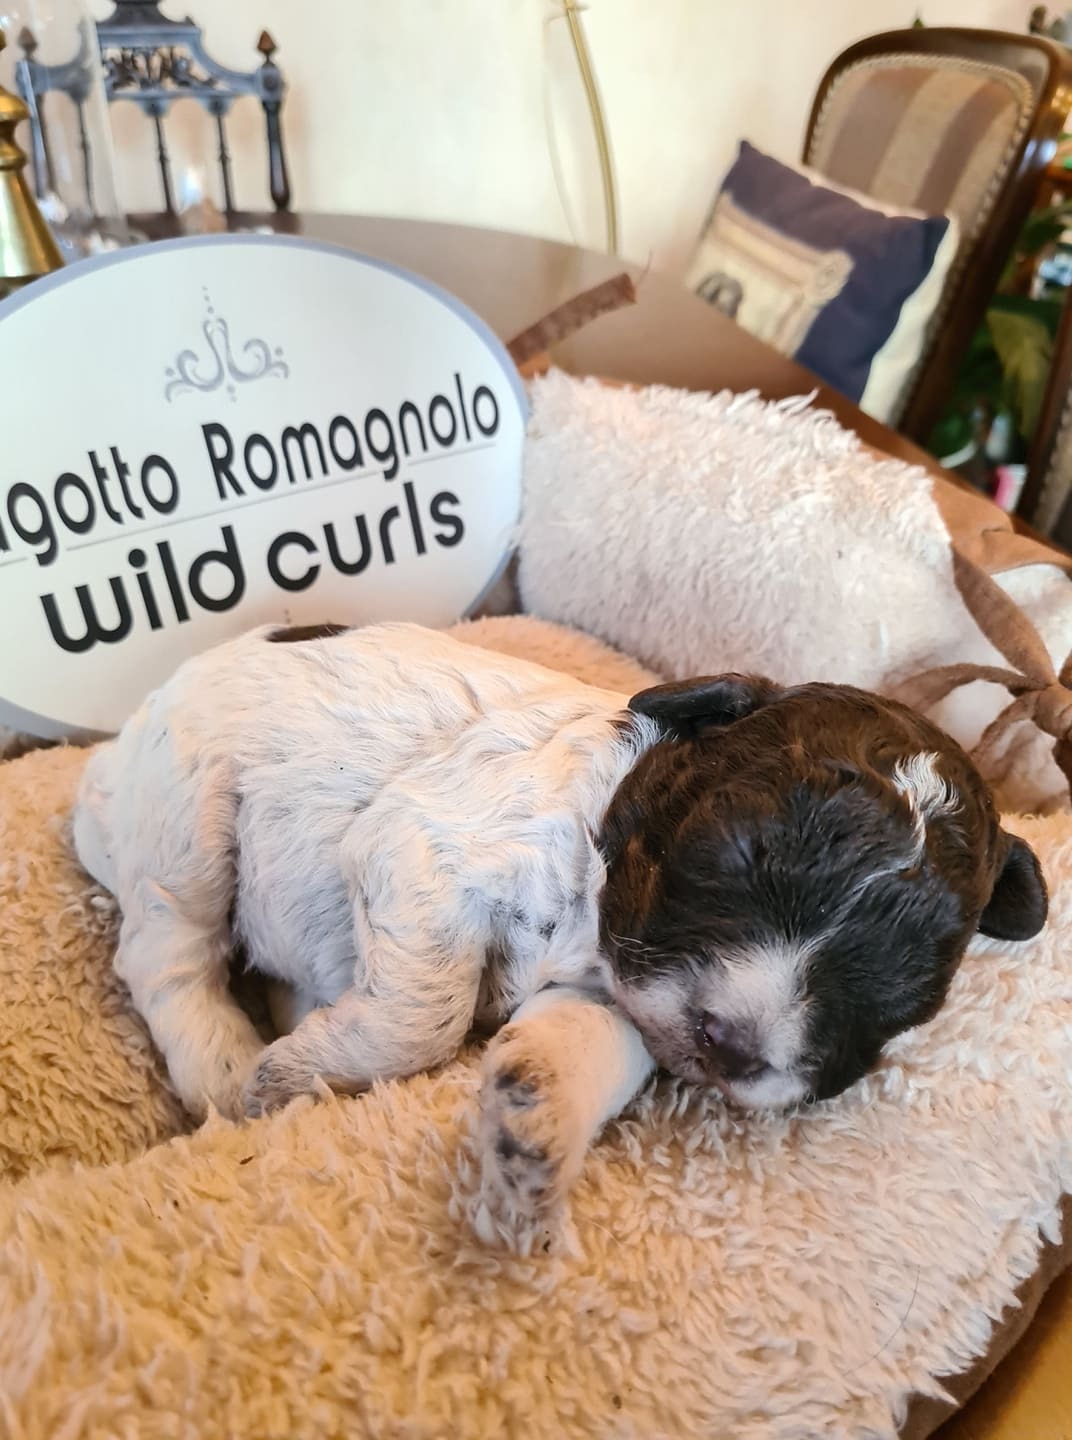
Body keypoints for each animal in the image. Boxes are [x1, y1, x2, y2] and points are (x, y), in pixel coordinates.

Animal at [73, 621, 1047, 1244]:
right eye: (741, 851)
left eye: (901, 997)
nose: (734, 1047)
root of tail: (111, 761)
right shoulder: (425, 846)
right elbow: (425, 1016)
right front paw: (290, 1074)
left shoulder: (614, 997)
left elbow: (581, 1047)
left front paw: (531, 1138)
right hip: (187, 813)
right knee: (168, 954)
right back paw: (226, 1065)